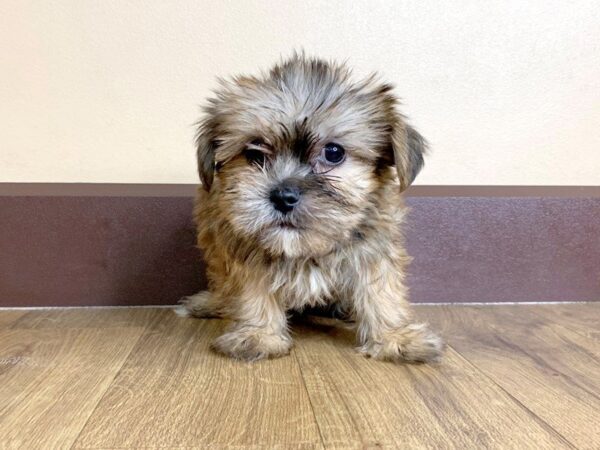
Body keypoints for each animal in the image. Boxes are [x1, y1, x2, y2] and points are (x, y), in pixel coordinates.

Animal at [180, 53, 442, 362]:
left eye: (333, 152)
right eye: (254, 153)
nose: (283, 196)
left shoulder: (373, 247)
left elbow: (380, 290)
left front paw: (395, 336)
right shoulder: (243, 246)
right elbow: (252, 288)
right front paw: (258, 335)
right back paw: (213, 302)